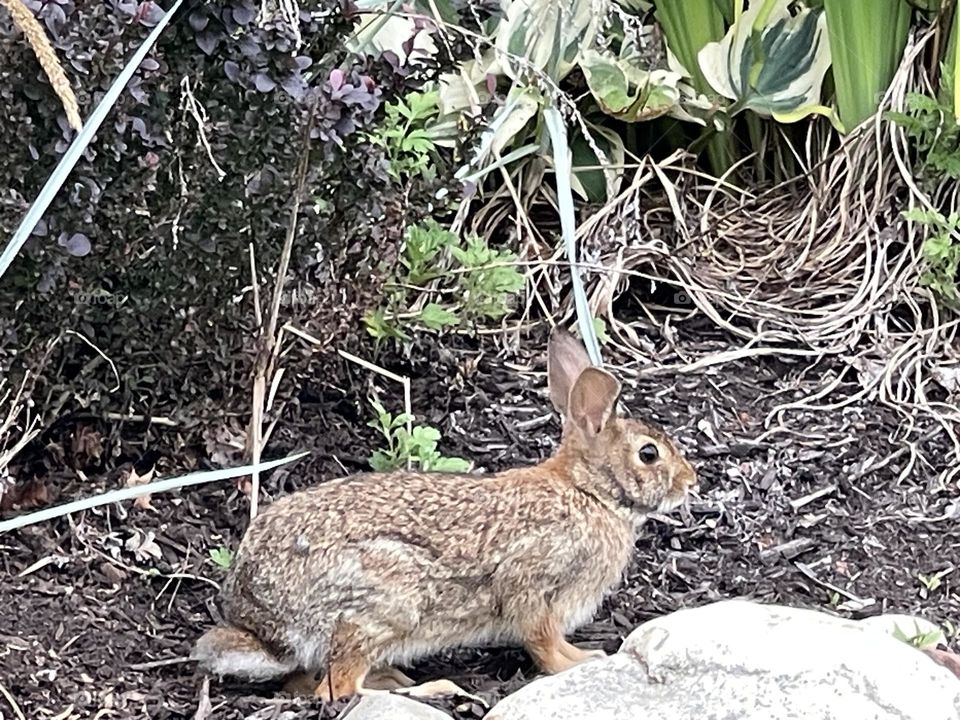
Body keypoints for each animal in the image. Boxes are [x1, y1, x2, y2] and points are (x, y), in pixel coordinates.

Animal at [191, 328, 698, 701]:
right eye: (649, 454)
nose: (689, 481)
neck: (587, 491)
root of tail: (262, 619)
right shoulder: (534, 584)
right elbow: (543, 642)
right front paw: (583, 661)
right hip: (384, 604)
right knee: (337, 689)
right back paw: (428, 689)